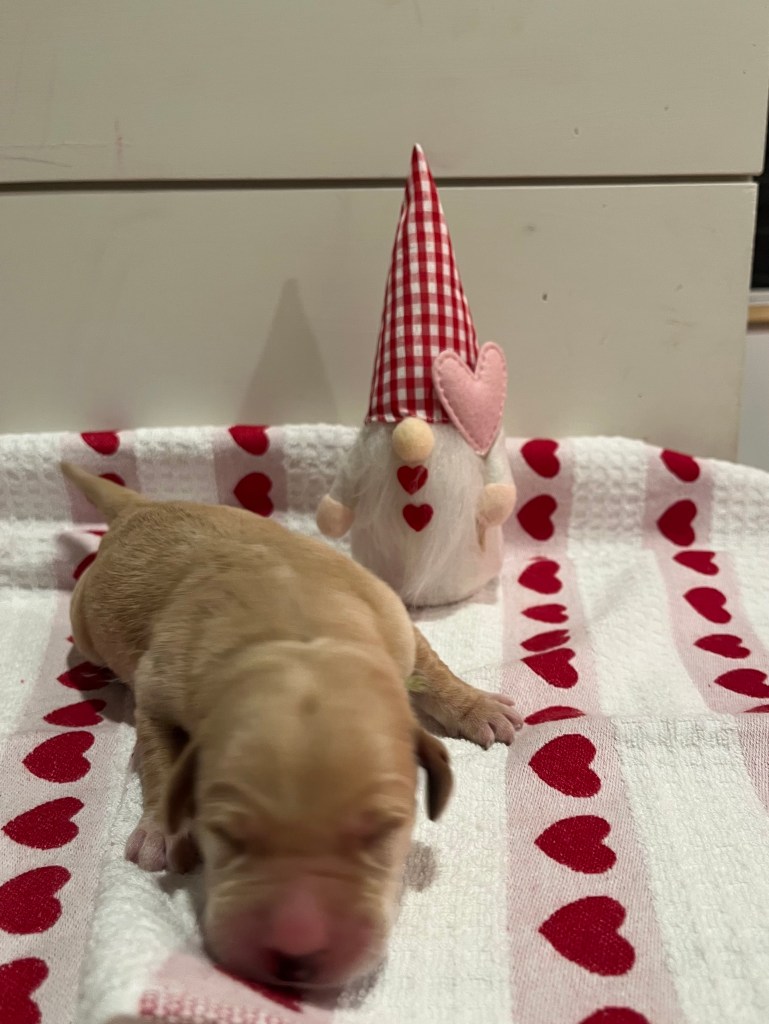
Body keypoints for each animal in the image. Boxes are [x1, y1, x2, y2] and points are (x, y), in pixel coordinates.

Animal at [61, 463, 522, 988]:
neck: (296, 631)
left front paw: (478, 706)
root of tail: (138, 506)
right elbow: (160, 754)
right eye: (226, 834)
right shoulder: (159, 686)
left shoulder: (395, 623)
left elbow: (432, 668)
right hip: (86, 622)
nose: (294, 953)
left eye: (382, 832)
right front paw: (163, 830)